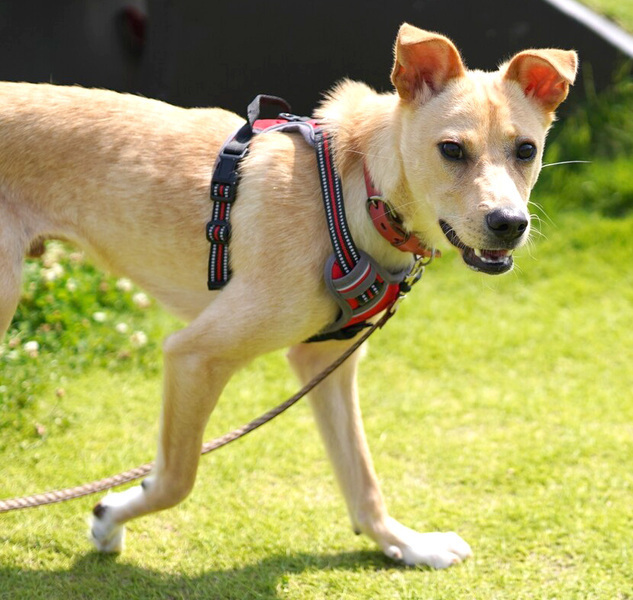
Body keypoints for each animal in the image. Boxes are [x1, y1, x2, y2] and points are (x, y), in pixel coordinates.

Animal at [0, 24, 576, 568]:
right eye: (452, 150)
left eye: (526, 150)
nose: (510, 224)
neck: (354, 191)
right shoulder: (194, 355)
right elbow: (176, 478)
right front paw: (111, 514)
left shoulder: (325, 361)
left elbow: (362, 479)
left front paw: (405, 545)